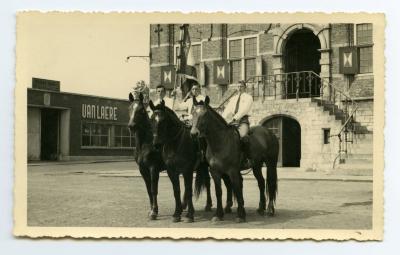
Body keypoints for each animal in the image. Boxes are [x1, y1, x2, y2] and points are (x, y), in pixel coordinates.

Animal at [128, 92, 211, 220]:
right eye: (130, 108)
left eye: (141, 110)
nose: (131, 125)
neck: (146, 143)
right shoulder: (143, 170)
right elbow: (149, 190)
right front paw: (152, 210)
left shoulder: (153, 168)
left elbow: (154, 189)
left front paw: (154, 212)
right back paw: (183, 206)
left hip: (204, 166)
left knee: (207, 182)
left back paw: (207, 205)